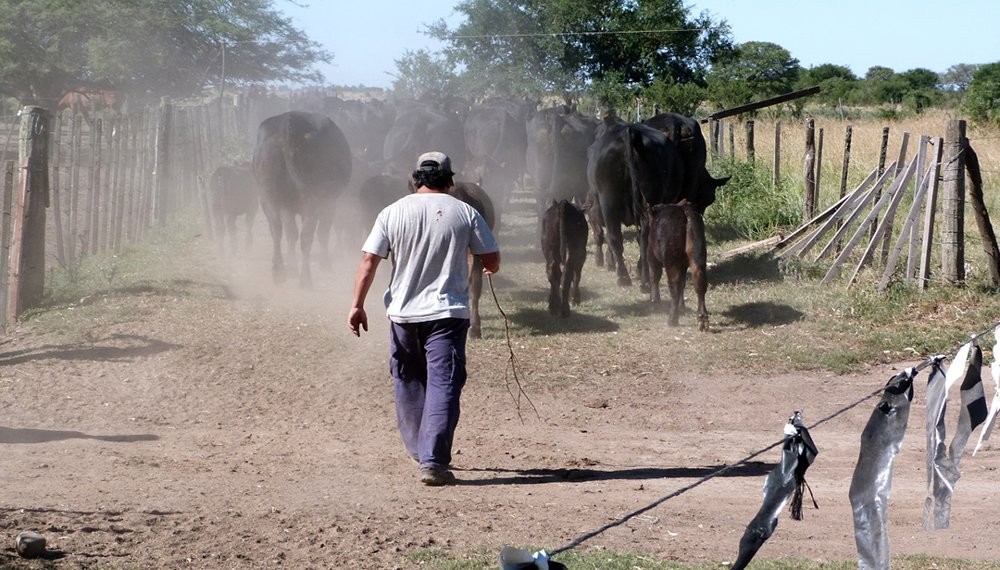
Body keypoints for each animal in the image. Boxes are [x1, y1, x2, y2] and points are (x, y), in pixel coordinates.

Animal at [250, 110, 352, 288]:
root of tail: (288, 122)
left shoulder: (286, 207)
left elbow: (291, 234)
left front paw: (292, 268)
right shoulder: (329, 204)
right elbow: (322, 232)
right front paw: (325, 264)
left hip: (267, 197)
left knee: (276, 231)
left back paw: (278, 271)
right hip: (312, 202)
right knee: (307, 237)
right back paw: (305, 279)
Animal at [588, 121, 684, 286]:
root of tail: (629, 132)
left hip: (609, 201)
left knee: (616, 238)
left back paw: (624, 276)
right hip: (647, 204)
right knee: (643, 239)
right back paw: (645, 281)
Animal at [648, 202, 712, 330]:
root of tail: (684, 210)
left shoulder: (652, 256)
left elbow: (654, 277)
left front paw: (654, 301)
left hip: (672, 261)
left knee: (675, 286)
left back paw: (672, 319)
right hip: (698, 255)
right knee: (699, 281)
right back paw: (702, 318)